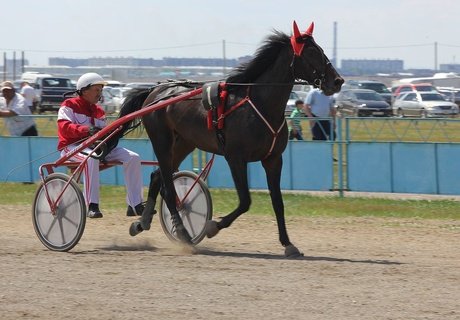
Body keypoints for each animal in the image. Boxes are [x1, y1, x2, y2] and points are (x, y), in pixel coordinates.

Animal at [117, 21, 344, 258]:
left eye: (320, 49)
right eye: (311, 52)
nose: (337, 81)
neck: (260, 104)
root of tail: (155, 90)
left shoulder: (273, 159)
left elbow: (278, 202)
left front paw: (288, 244)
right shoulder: (235, 158)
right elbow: (245, 201)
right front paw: (212, 226)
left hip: (183, 144)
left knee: (157, 176)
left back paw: (142, 223)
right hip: (162, 141)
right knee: (168, 188)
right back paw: (182, 232)